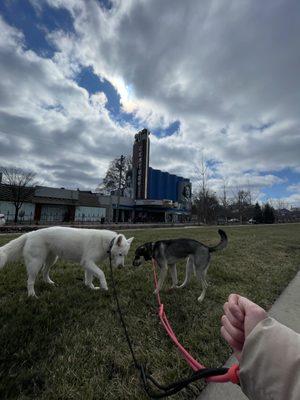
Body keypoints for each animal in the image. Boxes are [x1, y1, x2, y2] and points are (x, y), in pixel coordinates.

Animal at [0, 227, 134, 296]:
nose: (121, 267)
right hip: (35, 264)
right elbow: (101, 273)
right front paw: (104, 286)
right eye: (120, 254)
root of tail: (30, 233)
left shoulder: (88, 264)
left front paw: (90, 287)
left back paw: (49, 283)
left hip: (52, 260)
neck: (108, 243)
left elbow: (89, 277)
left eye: (125, 255)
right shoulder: (88, 262)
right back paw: (32, 295)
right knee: (30, 281)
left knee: (44, 272)